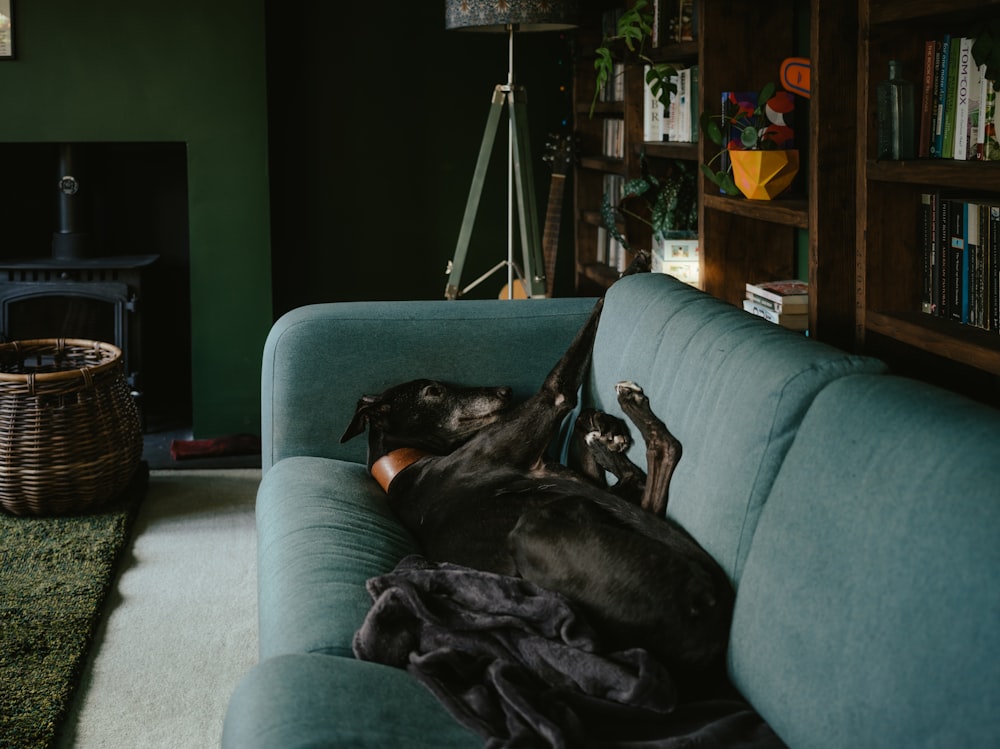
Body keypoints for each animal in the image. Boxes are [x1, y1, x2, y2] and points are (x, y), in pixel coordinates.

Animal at [344, 258, 736, 688]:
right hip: (545, 522)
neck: (407, 462)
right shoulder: (551, 403)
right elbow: (570, 373)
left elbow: (598, 444)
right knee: (663, 451)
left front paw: (604, 431)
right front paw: (631, 266)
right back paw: (632, 409)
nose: (504, 392)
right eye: (433, 391)